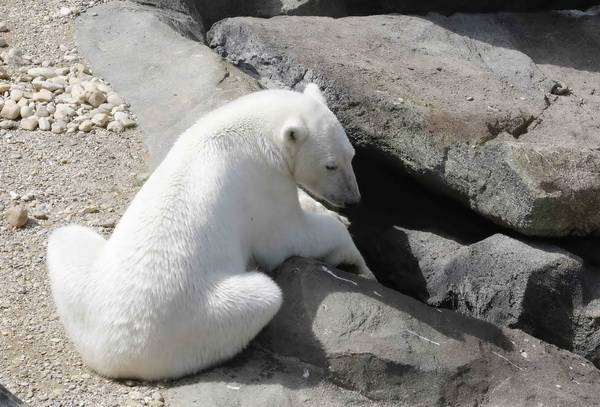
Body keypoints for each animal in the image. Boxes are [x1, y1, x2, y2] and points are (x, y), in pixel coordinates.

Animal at [48, 83, 370, 382]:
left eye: (353, 156)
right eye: (331, 165)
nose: (353, 199)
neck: (250, 131)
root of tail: (104, 353)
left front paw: (333, 214)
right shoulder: (260, 182)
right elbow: (288, 235)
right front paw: (357, 262)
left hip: (82, 284)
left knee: (65, 237)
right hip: (197, 318)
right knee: (264, 297)